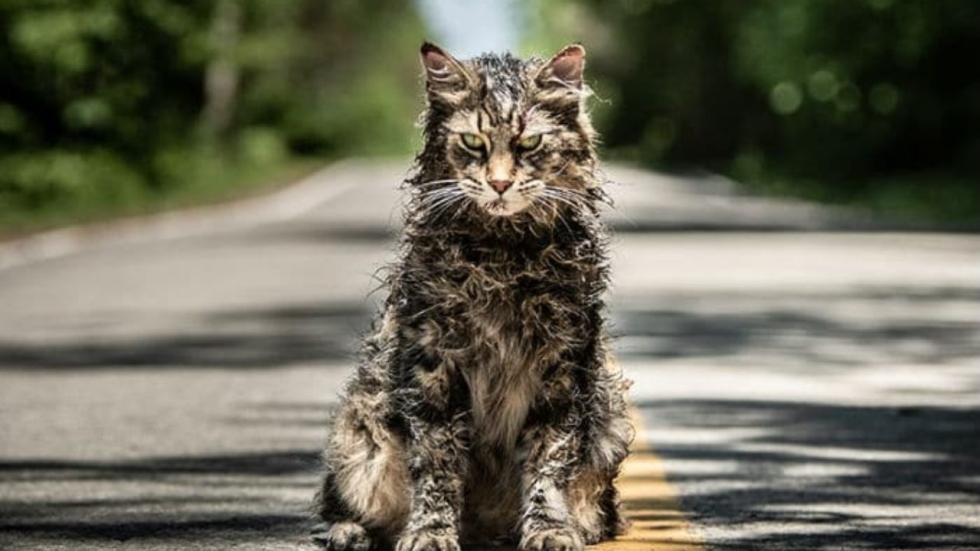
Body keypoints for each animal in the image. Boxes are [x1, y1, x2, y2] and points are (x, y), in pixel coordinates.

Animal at [316, 42, 636, 551]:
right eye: (472, 143)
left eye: (530, 145)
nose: (500, 183)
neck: (502, 256)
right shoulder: (434, 364)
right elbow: (437, 464)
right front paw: (430, 532)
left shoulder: (562, 365)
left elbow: (549, 460)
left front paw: (549, 528)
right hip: (359, 427)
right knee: (340, 502)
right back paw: (350, 532)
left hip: (611, 417)